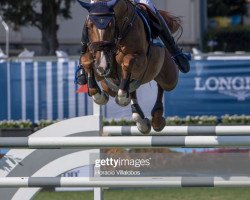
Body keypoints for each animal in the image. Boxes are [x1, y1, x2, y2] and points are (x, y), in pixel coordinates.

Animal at [78, 0, 180, 134]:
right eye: (89, 26)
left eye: (112, 25)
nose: (102, 66)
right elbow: (86, 61)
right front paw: (98, 95)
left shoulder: (140, 59)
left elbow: (128, 62)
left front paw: (122, 98)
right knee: (127, 90)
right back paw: (140, 119)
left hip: (169, 78)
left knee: (161, 86)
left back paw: (156, 119)